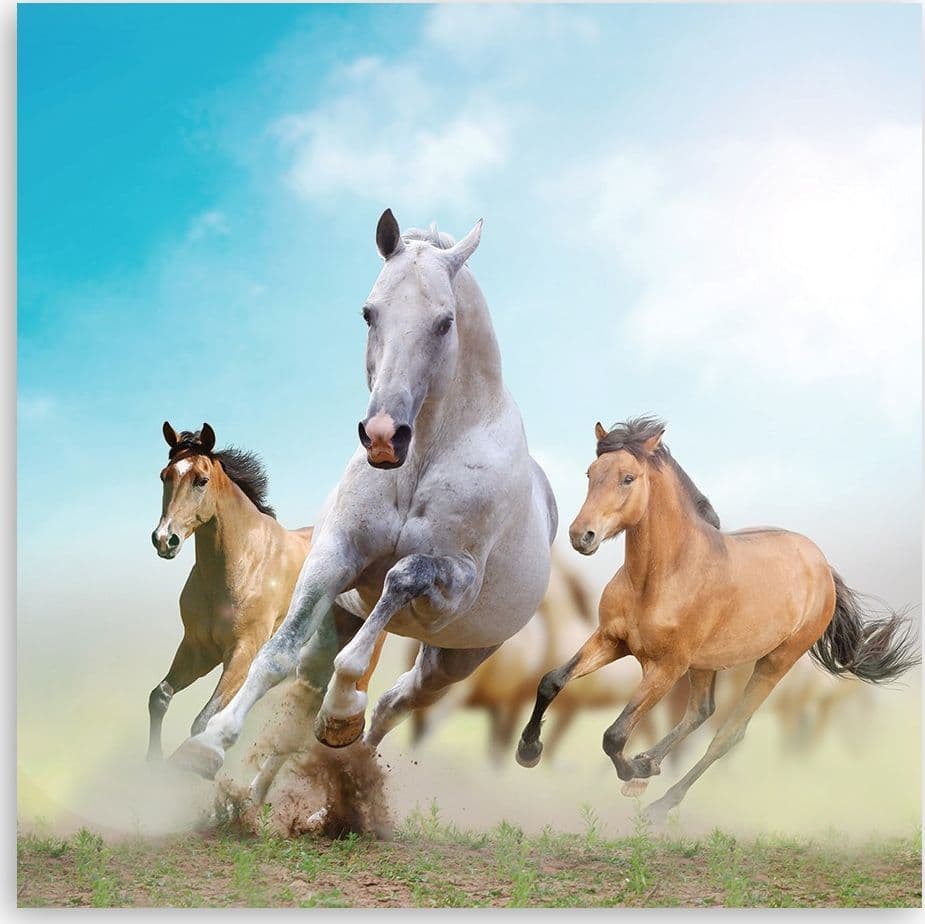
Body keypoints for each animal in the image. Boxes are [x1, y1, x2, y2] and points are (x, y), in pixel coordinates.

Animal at [148, 422, 384, 768]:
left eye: (201, 480)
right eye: (165, 475)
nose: (166, 539)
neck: (243, 564)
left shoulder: (243, 653)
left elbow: (203, 720)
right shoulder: (197, 648)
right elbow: (160, 697)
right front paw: (152, 762)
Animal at [516, 416, 918, 823]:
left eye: (627, 478)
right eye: (591, 472)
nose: (581, 535)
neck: (660, 576)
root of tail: (822, 566)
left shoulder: (666, 667)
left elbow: (614, 735)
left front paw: (633, 769)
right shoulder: (611, 640)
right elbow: (551, 681)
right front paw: (529, 751)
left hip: (773, 663)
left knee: (728, 733)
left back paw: (660, 802)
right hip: (706, 663)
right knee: (701, 712)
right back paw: (649, 767)